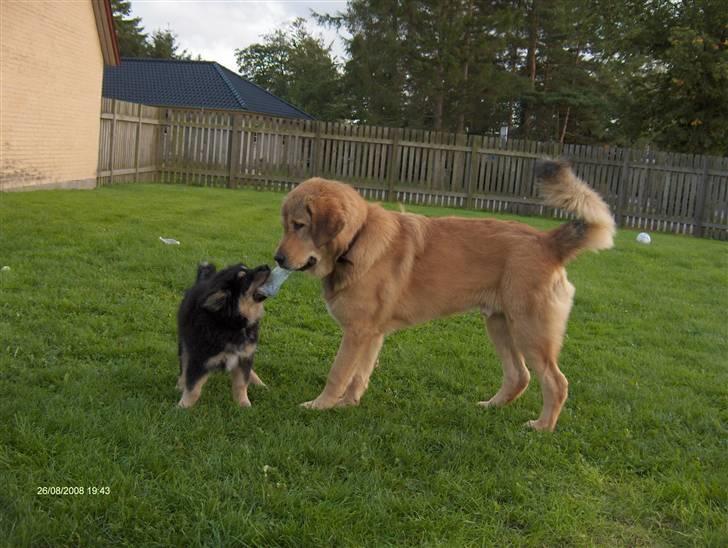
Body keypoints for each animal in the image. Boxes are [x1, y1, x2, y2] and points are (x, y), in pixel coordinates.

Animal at [178, 262, 272, 406]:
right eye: (244, 278)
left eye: (247, 268)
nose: (266, 266)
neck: (232, 324)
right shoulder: (200, 358)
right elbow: (193, 387)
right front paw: (182, 407)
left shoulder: (244, 355)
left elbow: (241, 383)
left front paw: (244, 405)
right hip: (184, 341)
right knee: (184, 362)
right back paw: (180, 384)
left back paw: (258, 383)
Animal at [272, 161, 616, 430]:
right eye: (285, 225)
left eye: (299, 225)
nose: (277, 259)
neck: (356, 240)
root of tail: (548, 241)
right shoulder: (371, 334)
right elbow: (359, 375)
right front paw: (347, 404)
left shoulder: (357, 333)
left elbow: (338, 373)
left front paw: (321, 405)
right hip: (499, 325)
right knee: (519, 376)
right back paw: (492, 406)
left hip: (530, 331)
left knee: (556, 383)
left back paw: (542, 426)